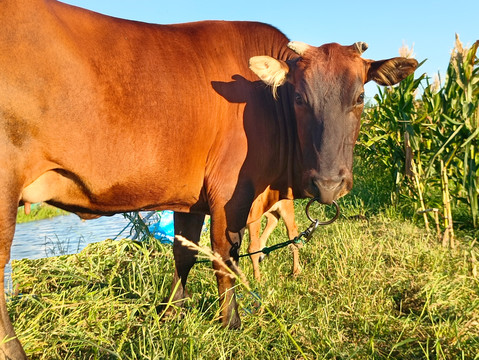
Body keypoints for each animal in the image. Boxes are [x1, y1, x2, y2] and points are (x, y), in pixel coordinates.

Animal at [0, 1, 416, 358]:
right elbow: (224, 256)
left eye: (360, 97)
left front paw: (171, 314)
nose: (328, 184)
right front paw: (231, 323)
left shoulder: (191, 198)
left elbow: (183, 253)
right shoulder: (231, 194)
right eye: (299, 97)